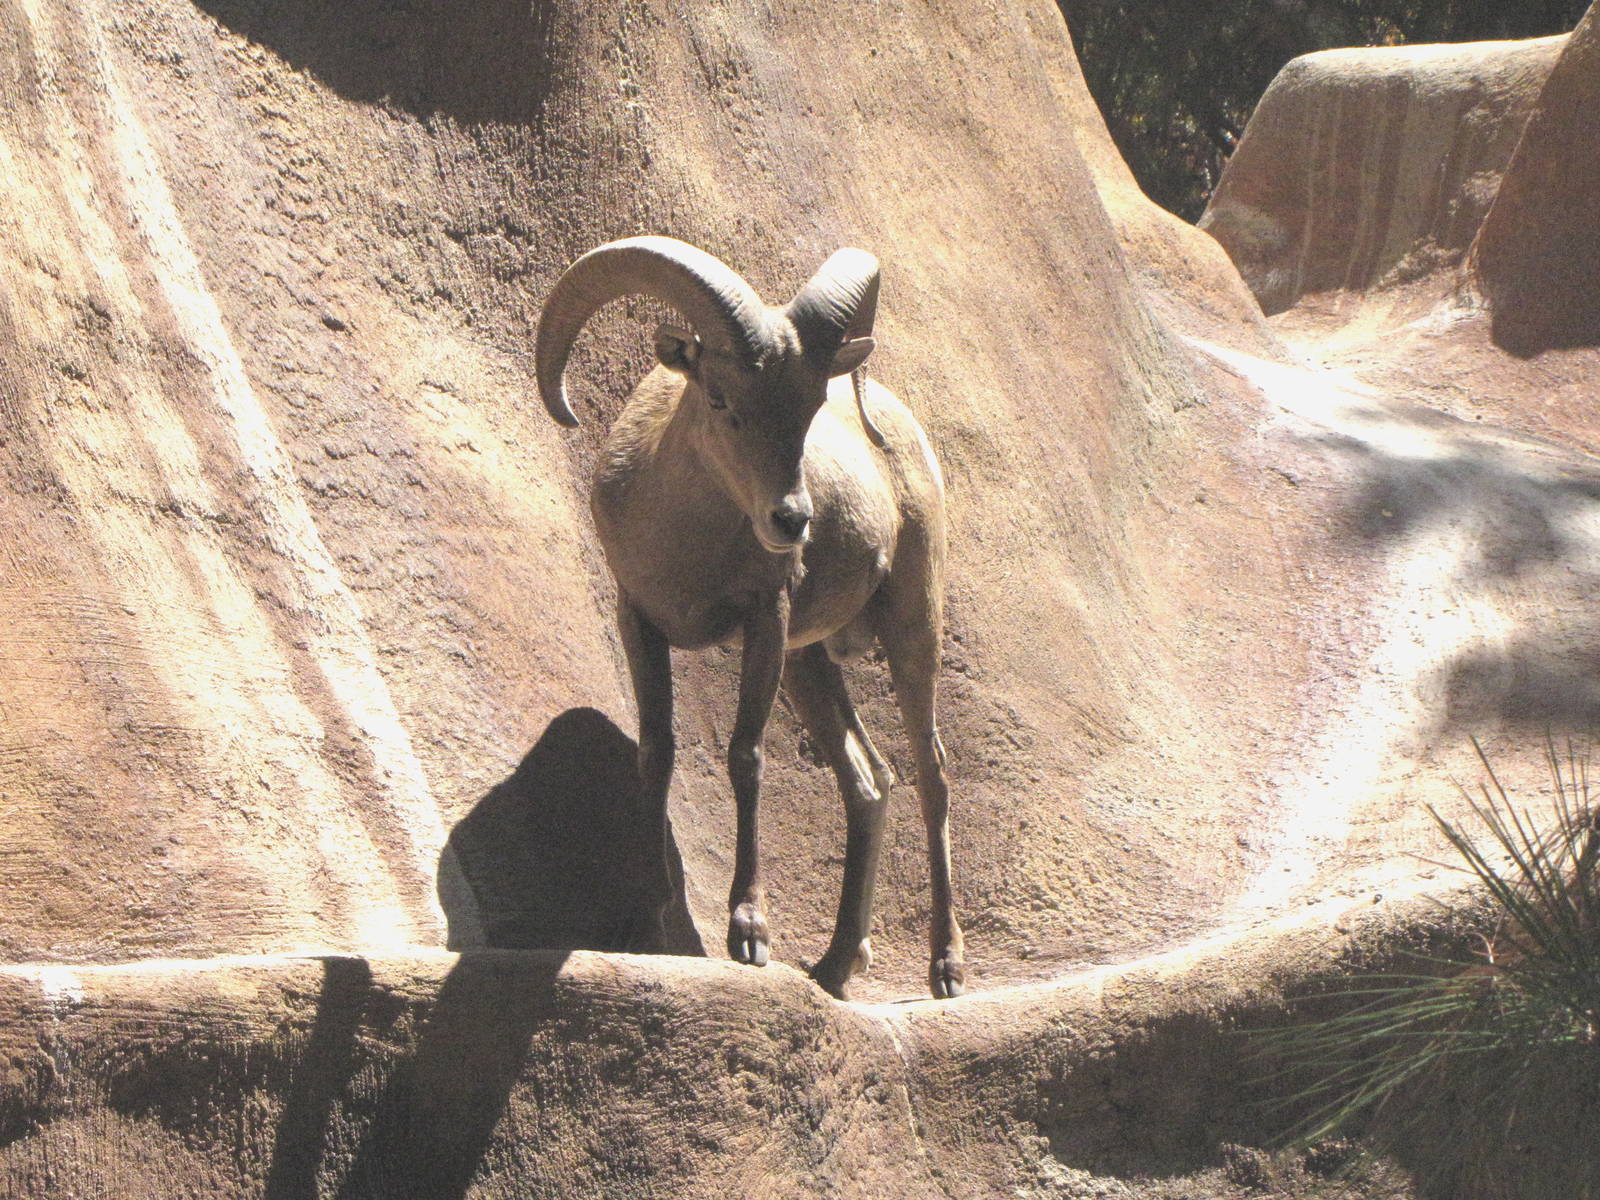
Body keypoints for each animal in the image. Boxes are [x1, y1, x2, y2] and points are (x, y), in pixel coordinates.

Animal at [535, 236, 965, 999]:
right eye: (720, 397)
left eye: (811, 404)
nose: (792, 520)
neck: (684, 543)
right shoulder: (640, 620)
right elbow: (657, 752)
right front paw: (650, 925)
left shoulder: (767, 620)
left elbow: (745, 755)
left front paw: (749, 934)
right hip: (809, 665)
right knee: (870, 779)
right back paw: (835, 965)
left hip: (911, 626)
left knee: (932, 773)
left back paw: (945, 968)